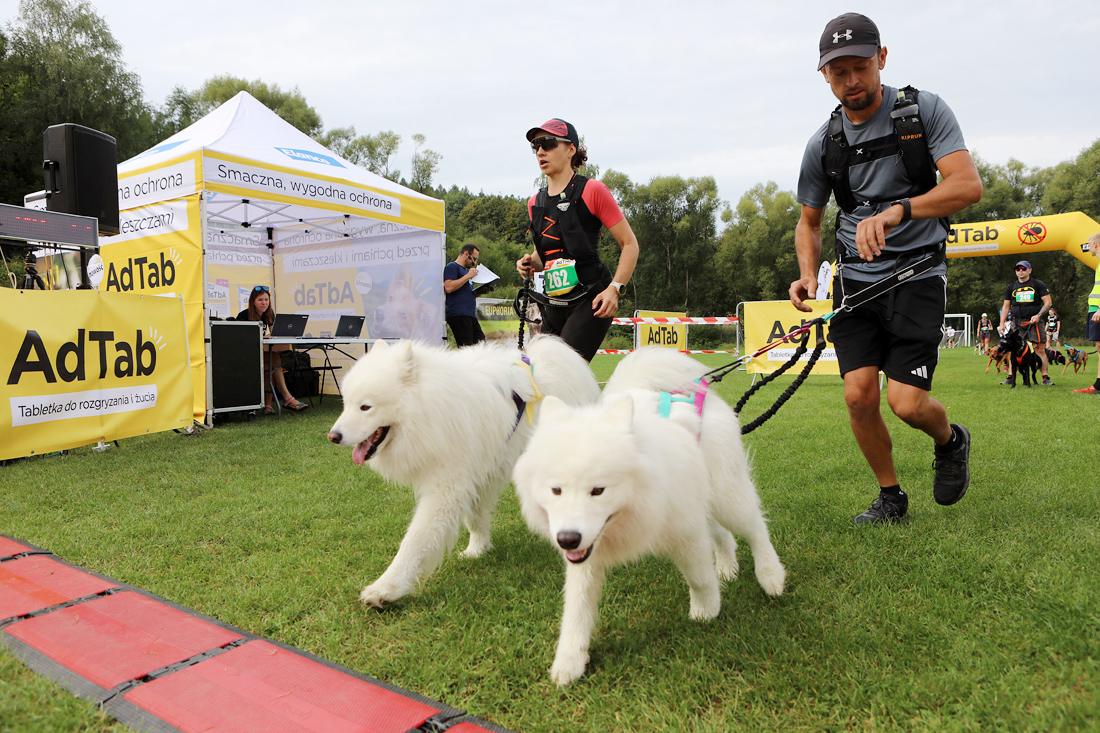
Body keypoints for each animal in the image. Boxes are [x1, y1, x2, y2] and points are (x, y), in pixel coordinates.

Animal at [328, 336, 600, 608]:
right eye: (346, 404)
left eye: (365, 407)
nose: (333, 436)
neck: (430, 410)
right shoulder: (473, 477)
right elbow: (475, 518)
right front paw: (477, 550)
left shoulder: (446, 487)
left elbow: (415, 540)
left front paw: (386, 588)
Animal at [513, 348, 785, 685]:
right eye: (556, 490)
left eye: (598, 490)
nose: (566, 539)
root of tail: (693, 392)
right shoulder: (587, 555)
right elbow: (576, 610)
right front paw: (569, 660)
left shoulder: (685, 530)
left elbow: (698, 577)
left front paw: (706, 609)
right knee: (723, 534)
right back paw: (727, 566)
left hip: (726, 495)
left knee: (755, 527)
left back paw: (771, 576)